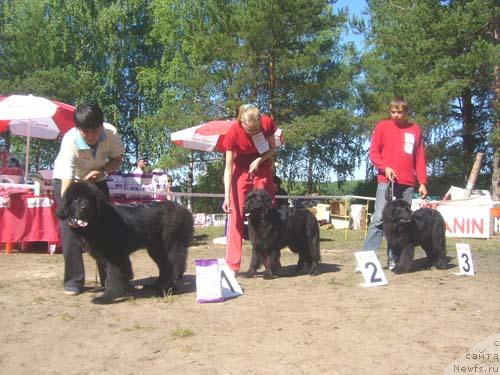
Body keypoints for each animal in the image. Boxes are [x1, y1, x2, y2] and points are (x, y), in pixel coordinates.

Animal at [56, 183, 193, 306]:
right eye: (76, 199)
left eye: (90, 199)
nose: (85, 208)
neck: (97, 222)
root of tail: (185, 210)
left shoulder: (116, 256)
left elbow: (113, 278)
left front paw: (106, 297)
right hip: (156, 249)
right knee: (165, 266)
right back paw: (157, 285)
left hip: (173, 246)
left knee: (176, 268)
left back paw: (171, 290)